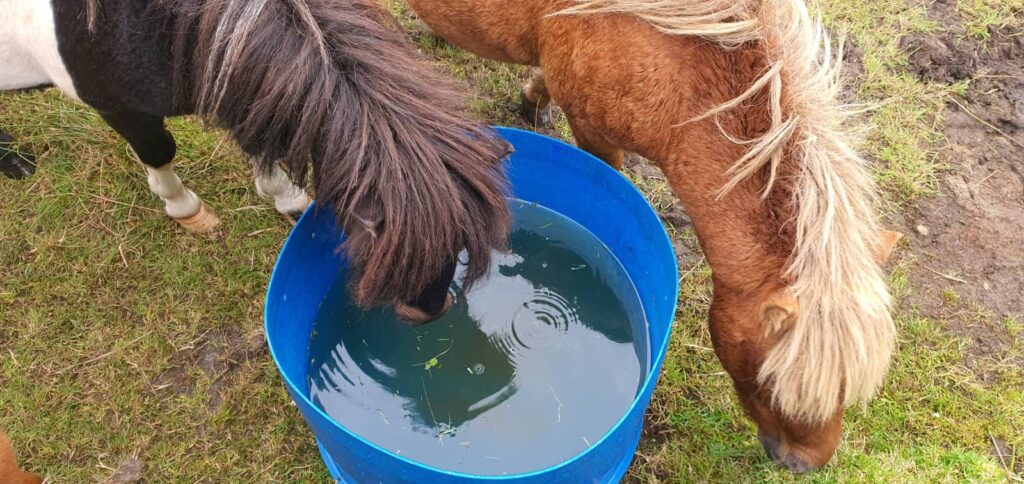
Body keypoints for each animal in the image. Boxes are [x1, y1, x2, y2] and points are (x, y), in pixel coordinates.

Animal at [0, 0, 512, 324]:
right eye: (391, 253)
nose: (427, 314)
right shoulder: (122, 109)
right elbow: (160, 152)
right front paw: (186, 210)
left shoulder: (233, 72)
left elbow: (261, 138)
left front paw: (286, 199)